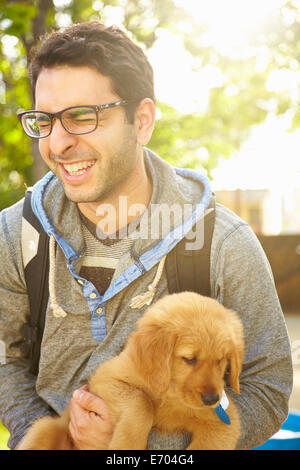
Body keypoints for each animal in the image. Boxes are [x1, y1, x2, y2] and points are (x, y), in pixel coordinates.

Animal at [17, 292, 244, 450]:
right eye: (190, 359)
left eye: (221, 360)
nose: (212, 399)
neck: (170, 391)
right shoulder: (106, 378)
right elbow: (141, 403)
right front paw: (127, 444)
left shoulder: (224, 421)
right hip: (45, 428)